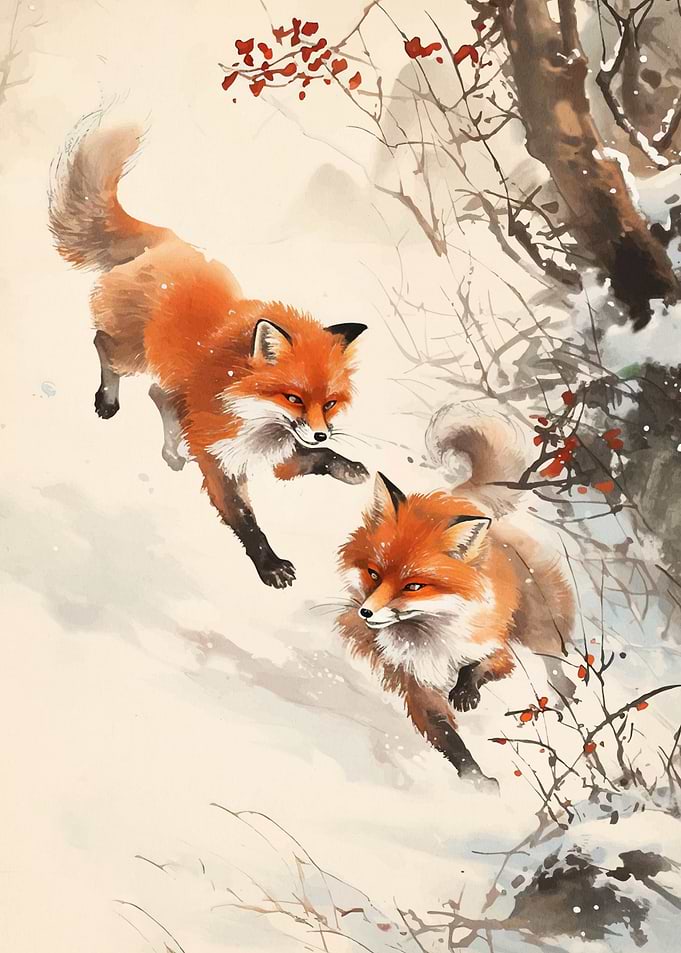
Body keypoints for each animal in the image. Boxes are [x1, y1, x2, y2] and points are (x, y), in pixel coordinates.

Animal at [48, 117, 369, 588]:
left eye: (328, 403)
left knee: (158, 396)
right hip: (132, 355)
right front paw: (269, 565)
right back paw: (107, 400)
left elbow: (318, 459)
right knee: (103, 347)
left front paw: (349, 467)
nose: (321, 431)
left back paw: (170, 450)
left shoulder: (272, 451)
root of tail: (169, 240)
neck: (251, 413)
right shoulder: (219, 457)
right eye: (293, 397)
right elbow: (245, 519)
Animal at [336, 407, 575, 787]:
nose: (366, 614)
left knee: (555, 660)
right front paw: (478, 783)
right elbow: (448, 738)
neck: (432, 636)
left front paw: (465, 692)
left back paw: (564, 696)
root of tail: (457, 498)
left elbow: (478, 667)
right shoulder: (415, 683)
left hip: (538, 622)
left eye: (413, 586)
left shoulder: (497, 649)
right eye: (374, 574)